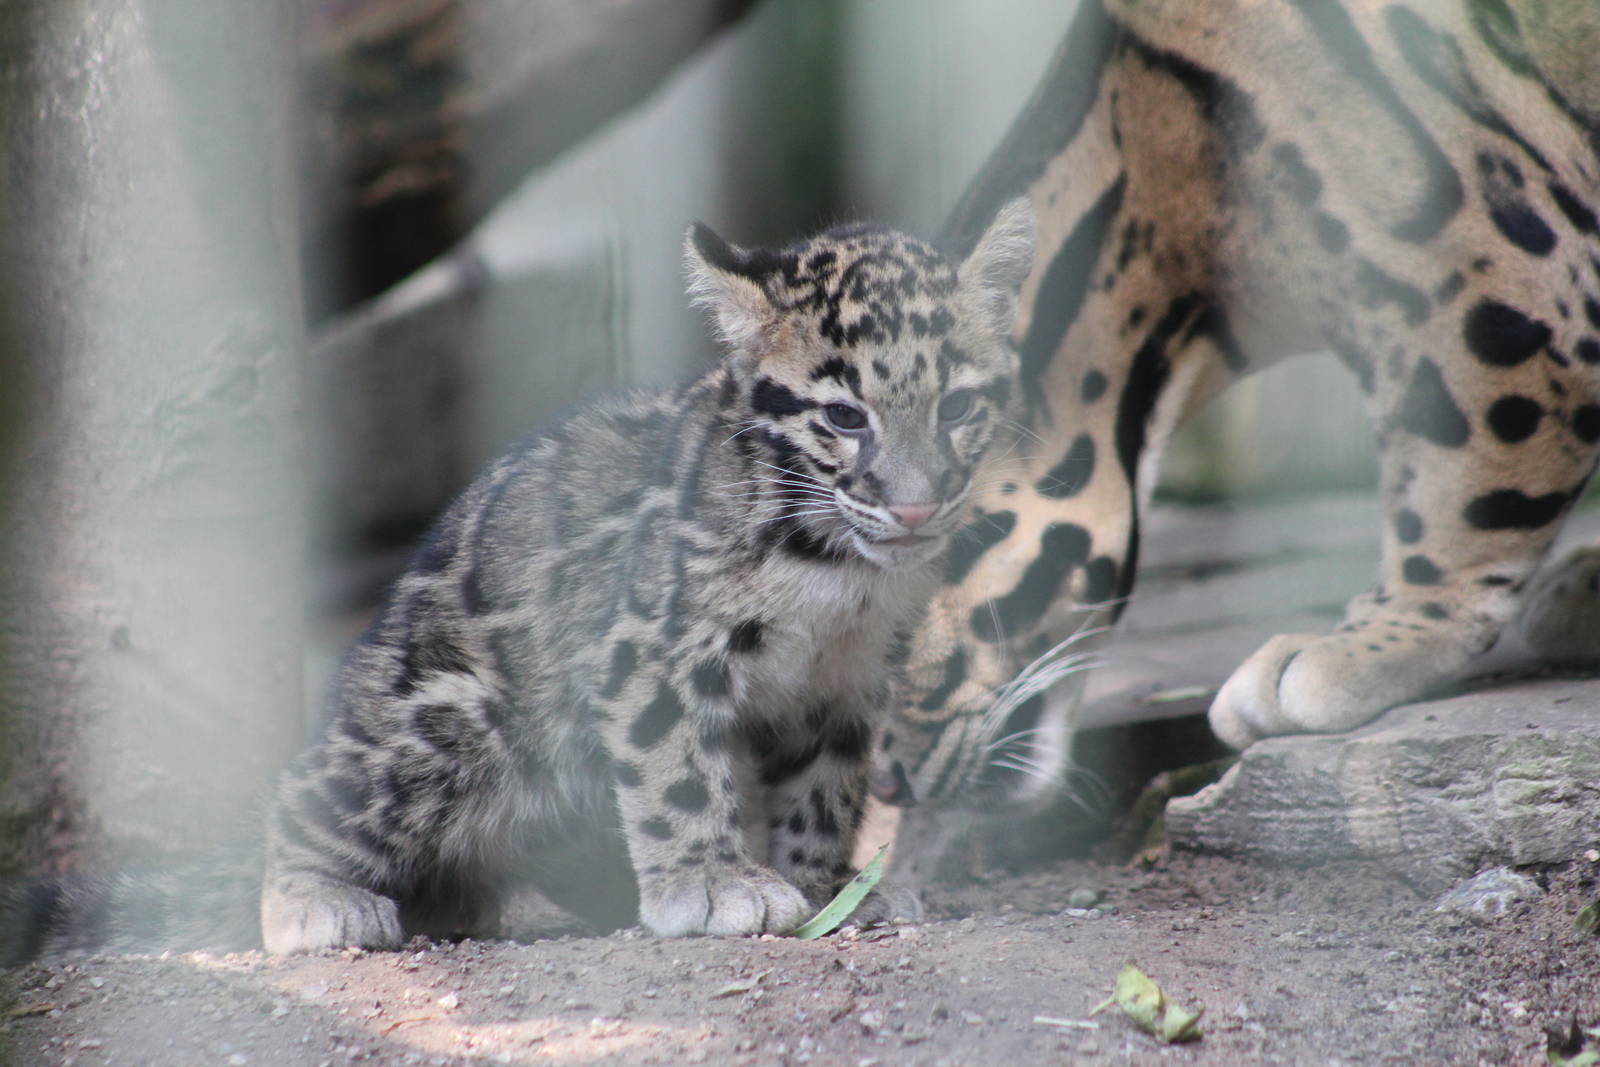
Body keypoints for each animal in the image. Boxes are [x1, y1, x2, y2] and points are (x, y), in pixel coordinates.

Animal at [1, 202, 1034, 961]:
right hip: (447, 725)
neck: (835, 572)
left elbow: (823, 795)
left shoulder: (844, 685)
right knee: (301, 795)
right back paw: (316, 898)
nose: (915, 507)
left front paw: (824, 889)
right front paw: (709, 882)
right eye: (845, 416)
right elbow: (677, 772)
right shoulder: (648, 650)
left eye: (958, 407)